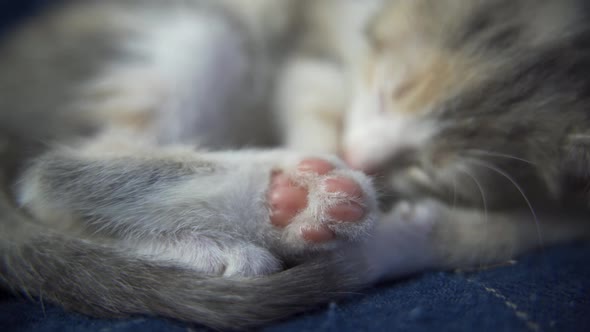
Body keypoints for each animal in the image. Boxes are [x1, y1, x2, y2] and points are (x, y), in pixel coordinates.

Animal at [0, 0, 588, 330]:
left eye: (428, 168)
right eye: (386, 91)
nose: (359, 158)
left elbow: (509, 234)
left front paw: (403, 236)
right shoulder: (312, 43)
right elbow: (311, 91)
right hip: (197, 29)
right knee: (48, 178)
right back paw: (293, 200)